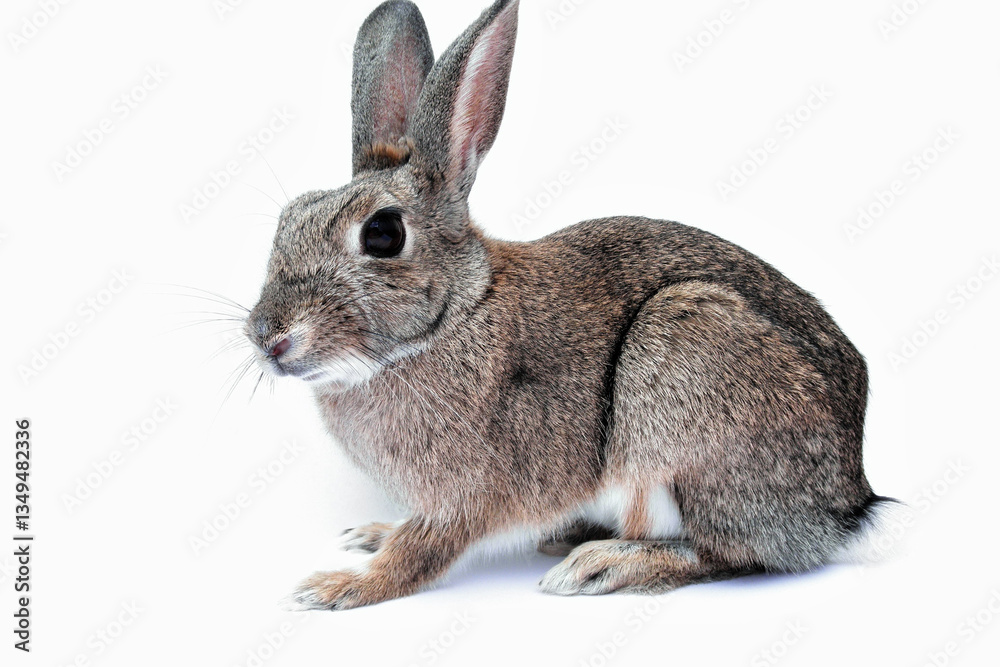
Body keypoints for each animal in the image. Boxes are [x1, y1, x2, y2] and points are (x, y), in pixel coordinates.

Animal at [244, 0, 898, 610]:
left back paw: (601, 565)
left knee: (729, 554)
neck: (455, 315)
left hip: (684, 366)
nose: (268, 338)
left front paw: (338, 586)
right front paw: (370, 535)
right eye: (288, 218)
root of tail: (846, 508)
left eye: (382, 234)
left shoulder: (465, 495)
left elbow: (422, 552)